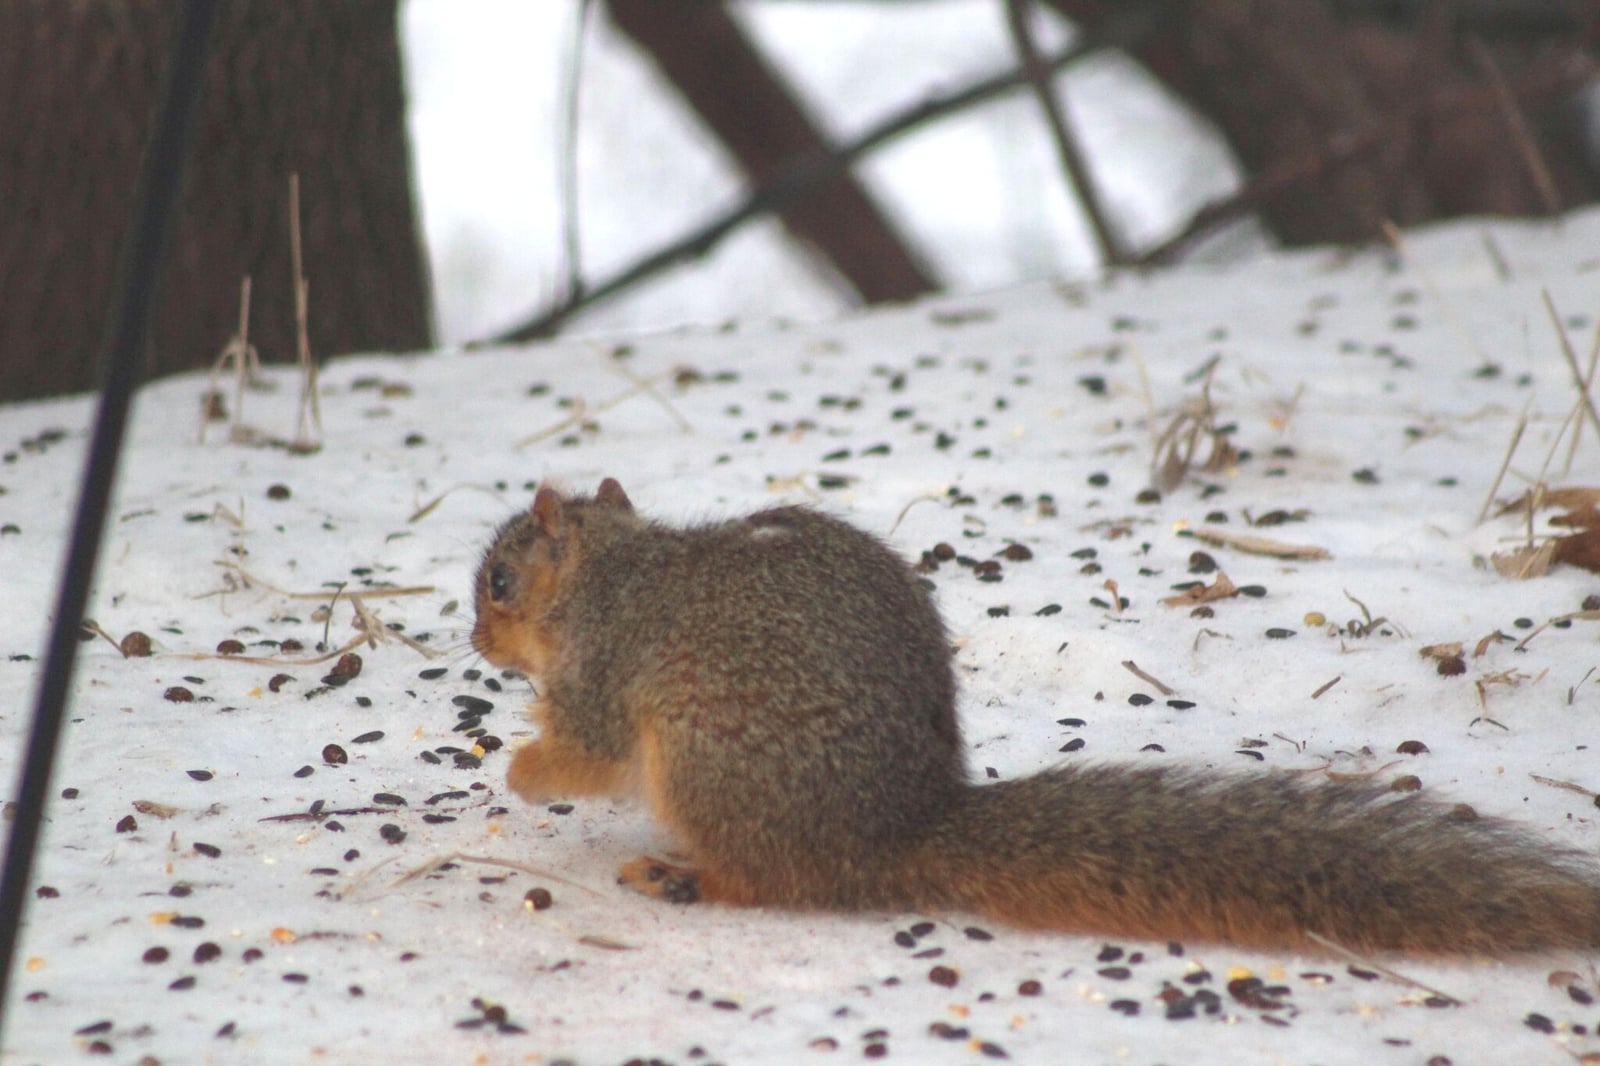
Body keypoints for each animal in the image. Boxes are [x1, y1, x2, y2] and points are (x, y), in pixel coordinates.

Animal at [471, 478, 1600, 954]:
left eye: (498, 583)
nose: (476, 643)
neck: (609, 571)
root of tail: (896, 833)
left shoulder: (605, 671)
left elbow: (588, 752)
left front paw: (521, 771)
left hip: (709, 759)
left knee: (774, 883)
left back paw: (681, 876)